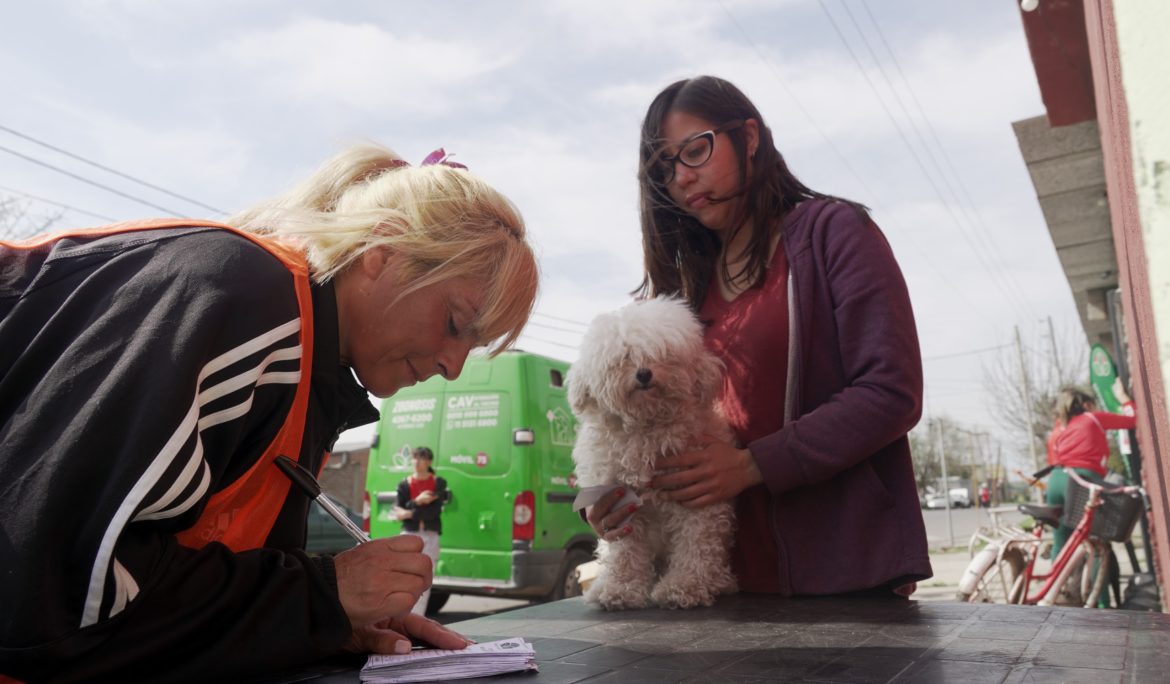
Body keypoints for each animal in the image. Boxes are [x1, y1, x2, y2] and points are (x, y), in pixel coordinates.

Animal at [563, 293, 730, 608]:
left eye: (662, 354)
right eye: (624, 357)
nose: (644, 373)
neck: (644, 429)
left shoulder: (695, 494)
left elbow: (696, 543)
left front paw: (685, 586)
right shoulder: (620, 504)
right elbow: (625, 552)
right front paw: (620, 589)